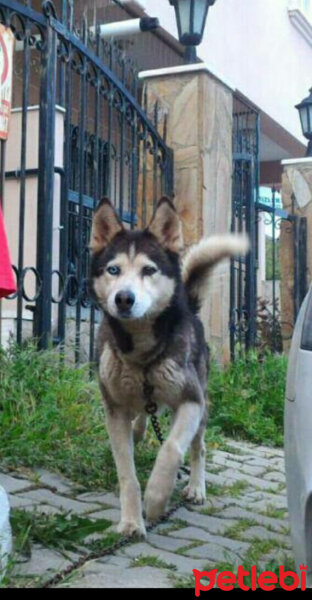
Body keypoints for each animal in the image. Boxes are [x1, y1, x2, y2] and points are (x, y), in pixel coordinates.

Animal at [90, 197, 249, 540]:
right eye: (113, 270)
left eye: (149, 270)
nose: (124, 298)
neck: (141, 353)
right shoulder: (114, 410)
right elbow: (127, 473)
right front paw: (131, 521)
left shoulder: (190, 401)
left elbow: (172, 447)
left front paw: (156, 498)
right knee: (143, 417)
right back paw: (140, 429)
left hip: (202, 406)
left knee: (198, 447)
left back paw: (196, 487)